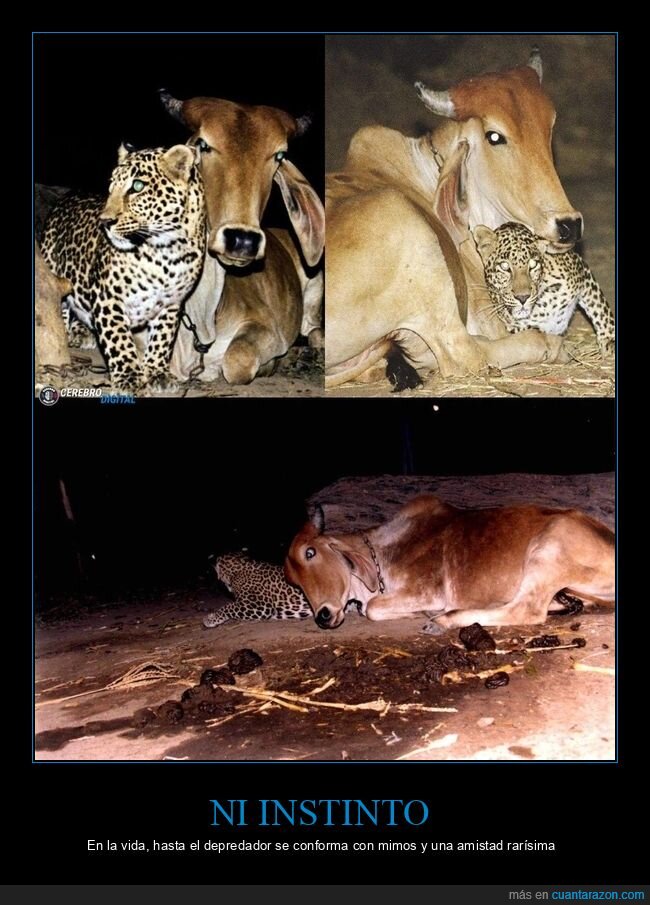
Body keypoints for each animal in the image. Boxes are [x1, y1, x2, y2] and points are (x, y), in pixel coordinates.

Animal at [41, 143, 206, 392]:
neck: (167, 250)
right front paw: (129, 376)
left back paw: (82, 331)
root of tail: (69, 195)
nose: (105, 222)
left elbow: (162, 338)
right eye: (111, 187)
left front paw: (157, 373)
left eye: (137, 186)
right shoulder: (107, 296)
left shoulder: (172, 302)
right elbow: (118, 338)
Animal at [159, 92, 325, 385]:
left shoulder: (265, 327)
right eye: (203, 144)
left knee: (315, 331)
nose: (242, 241)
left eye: (279, 155)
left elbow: (236, 360)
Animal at [285, 495, 615, 633]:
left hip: (548, 546)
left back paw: (443, 620)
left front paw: (422, 613)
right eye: (292, 581)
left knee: (527, 610)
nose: (323, 616)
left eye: (310, 552)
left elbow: (372, 609)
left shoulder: (427, 590)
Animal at [473, 221, 615, 357]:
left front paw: (610, 341)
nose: (523, 298)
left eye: (533, 265)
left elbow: (600, 309)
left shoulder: (582, 270)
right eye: (504, 266)